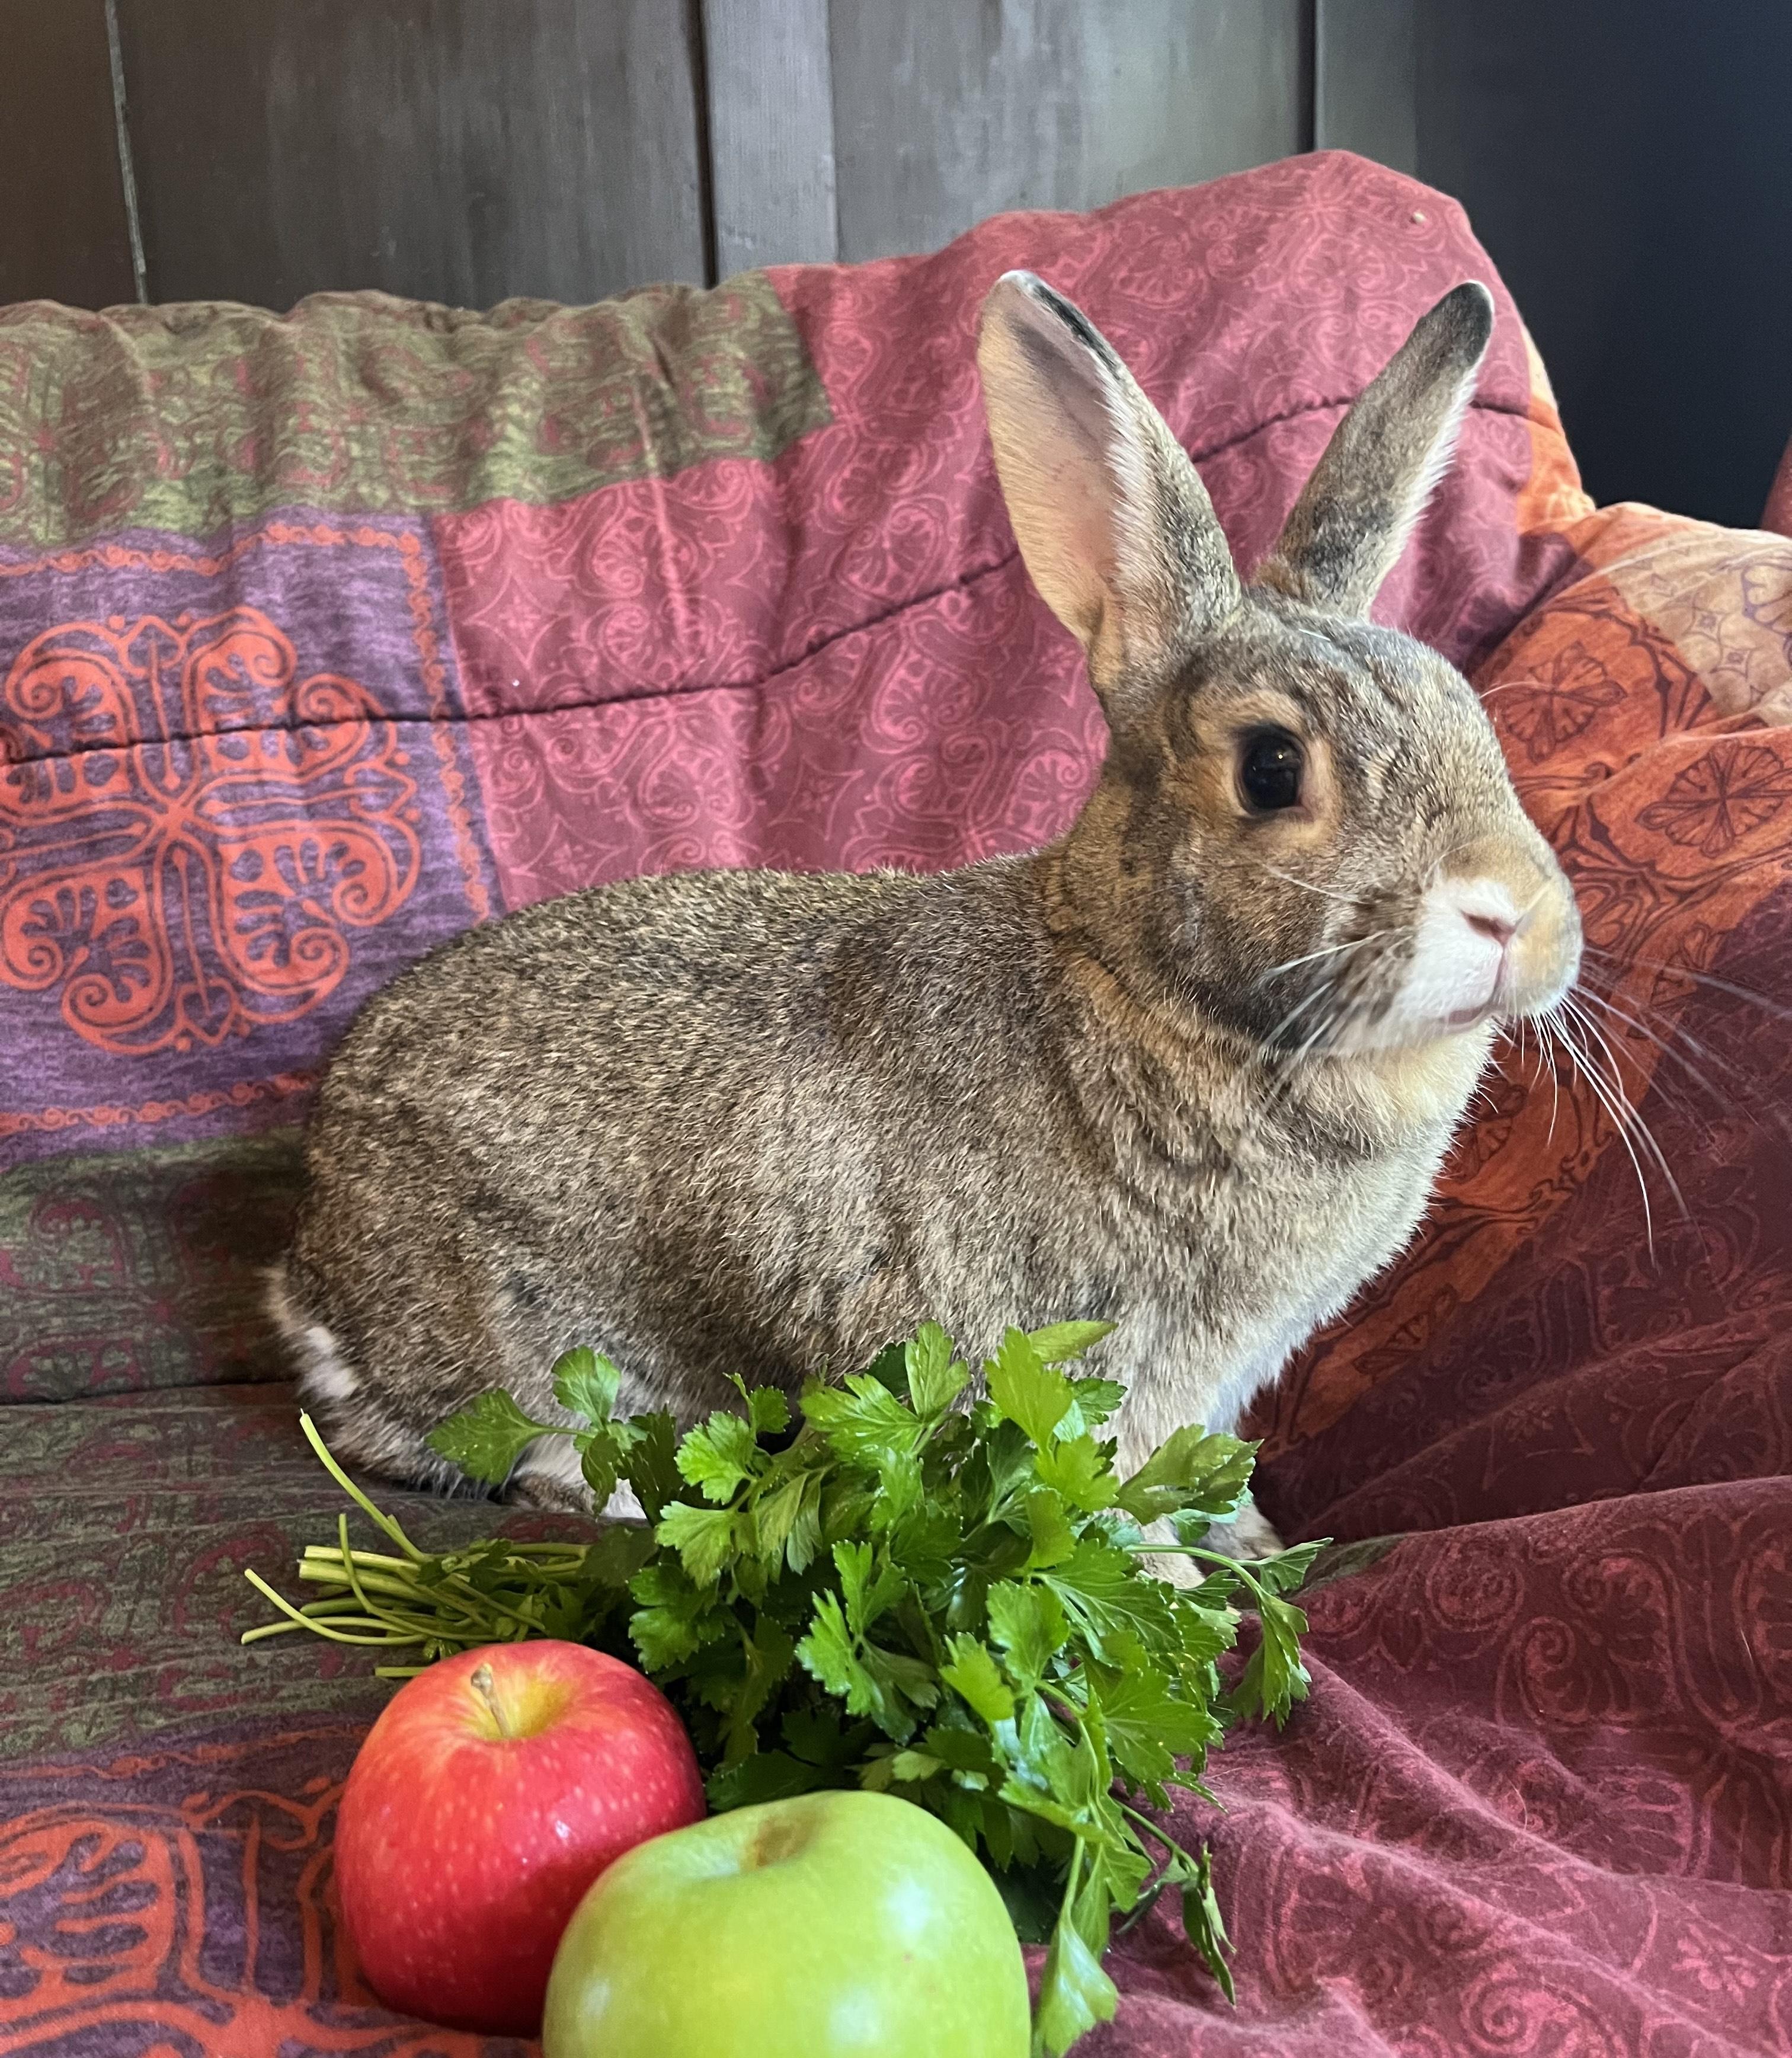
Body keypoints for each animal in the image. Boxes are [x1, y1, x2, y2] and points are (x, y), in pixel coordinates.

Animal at [270, 271, 1580, 1566]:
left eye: (1470, 711)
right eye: (1270, 767)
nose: (1514, 915)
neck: (1137, 985)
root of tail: (310, 1256)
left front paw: (1245, 1535)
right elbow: (1111, 1489)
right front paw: (1166, 1564)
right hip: (513, 1342)